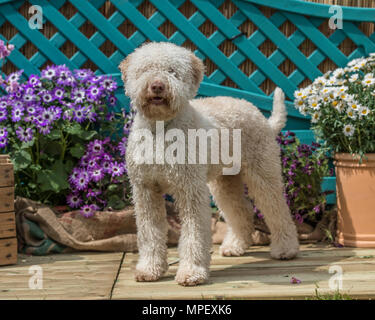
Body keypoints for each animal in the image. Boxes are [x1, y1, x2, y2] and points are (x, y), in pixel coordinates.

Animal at [120, 42, 300, 284]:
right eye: (145, 70)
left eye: (172, 71)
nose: (157, 86)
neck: (161, 130)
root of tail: (260, 115)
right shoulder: (146, 190)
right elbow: (150, 233)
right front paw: (149, 269)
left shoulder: (190, 189)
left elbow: (194, 233)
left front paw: (191, 273)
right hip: (225, 183)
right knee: (241, 210)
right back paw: (235, 246)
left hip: (263, 174)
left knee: (277, 209)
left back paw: (286, 249)